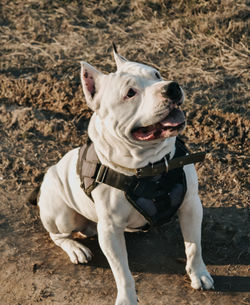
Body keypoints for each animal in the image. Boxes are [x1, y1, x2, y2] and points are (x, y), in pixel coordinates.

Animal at [36, 46, 214, 302]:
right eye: (130, 93)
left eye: (157, 74)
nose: (171, 87)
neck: (152, 165)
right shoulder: (110, 231)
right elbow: (123, 273)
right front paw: (127, 299)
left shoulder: (191, 204)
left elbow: (194, 246)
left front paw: (198, 273)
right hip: (62, 214)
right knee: (57, 235)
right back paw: (75, 248)